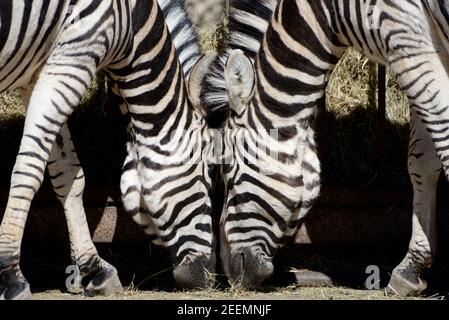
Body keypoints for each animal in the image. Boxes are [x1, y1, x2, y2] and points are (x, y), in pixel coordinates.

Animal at [0, 0, 215, 300]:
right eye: (206, 178)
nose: (206, 274)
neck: (133, 22)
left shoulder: (41, 72)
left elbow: (68, 175)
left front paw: (94, 268)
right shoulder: (76, 54)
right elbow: (30, 170)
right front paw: (11, 275)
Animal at [204, 0, 448, 296]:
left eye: (228, 174)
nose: (228, 275)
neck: (323, 11)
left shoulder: (403, 31)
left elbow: (443, 132)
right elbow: (422, 160)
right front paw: (411, 268)